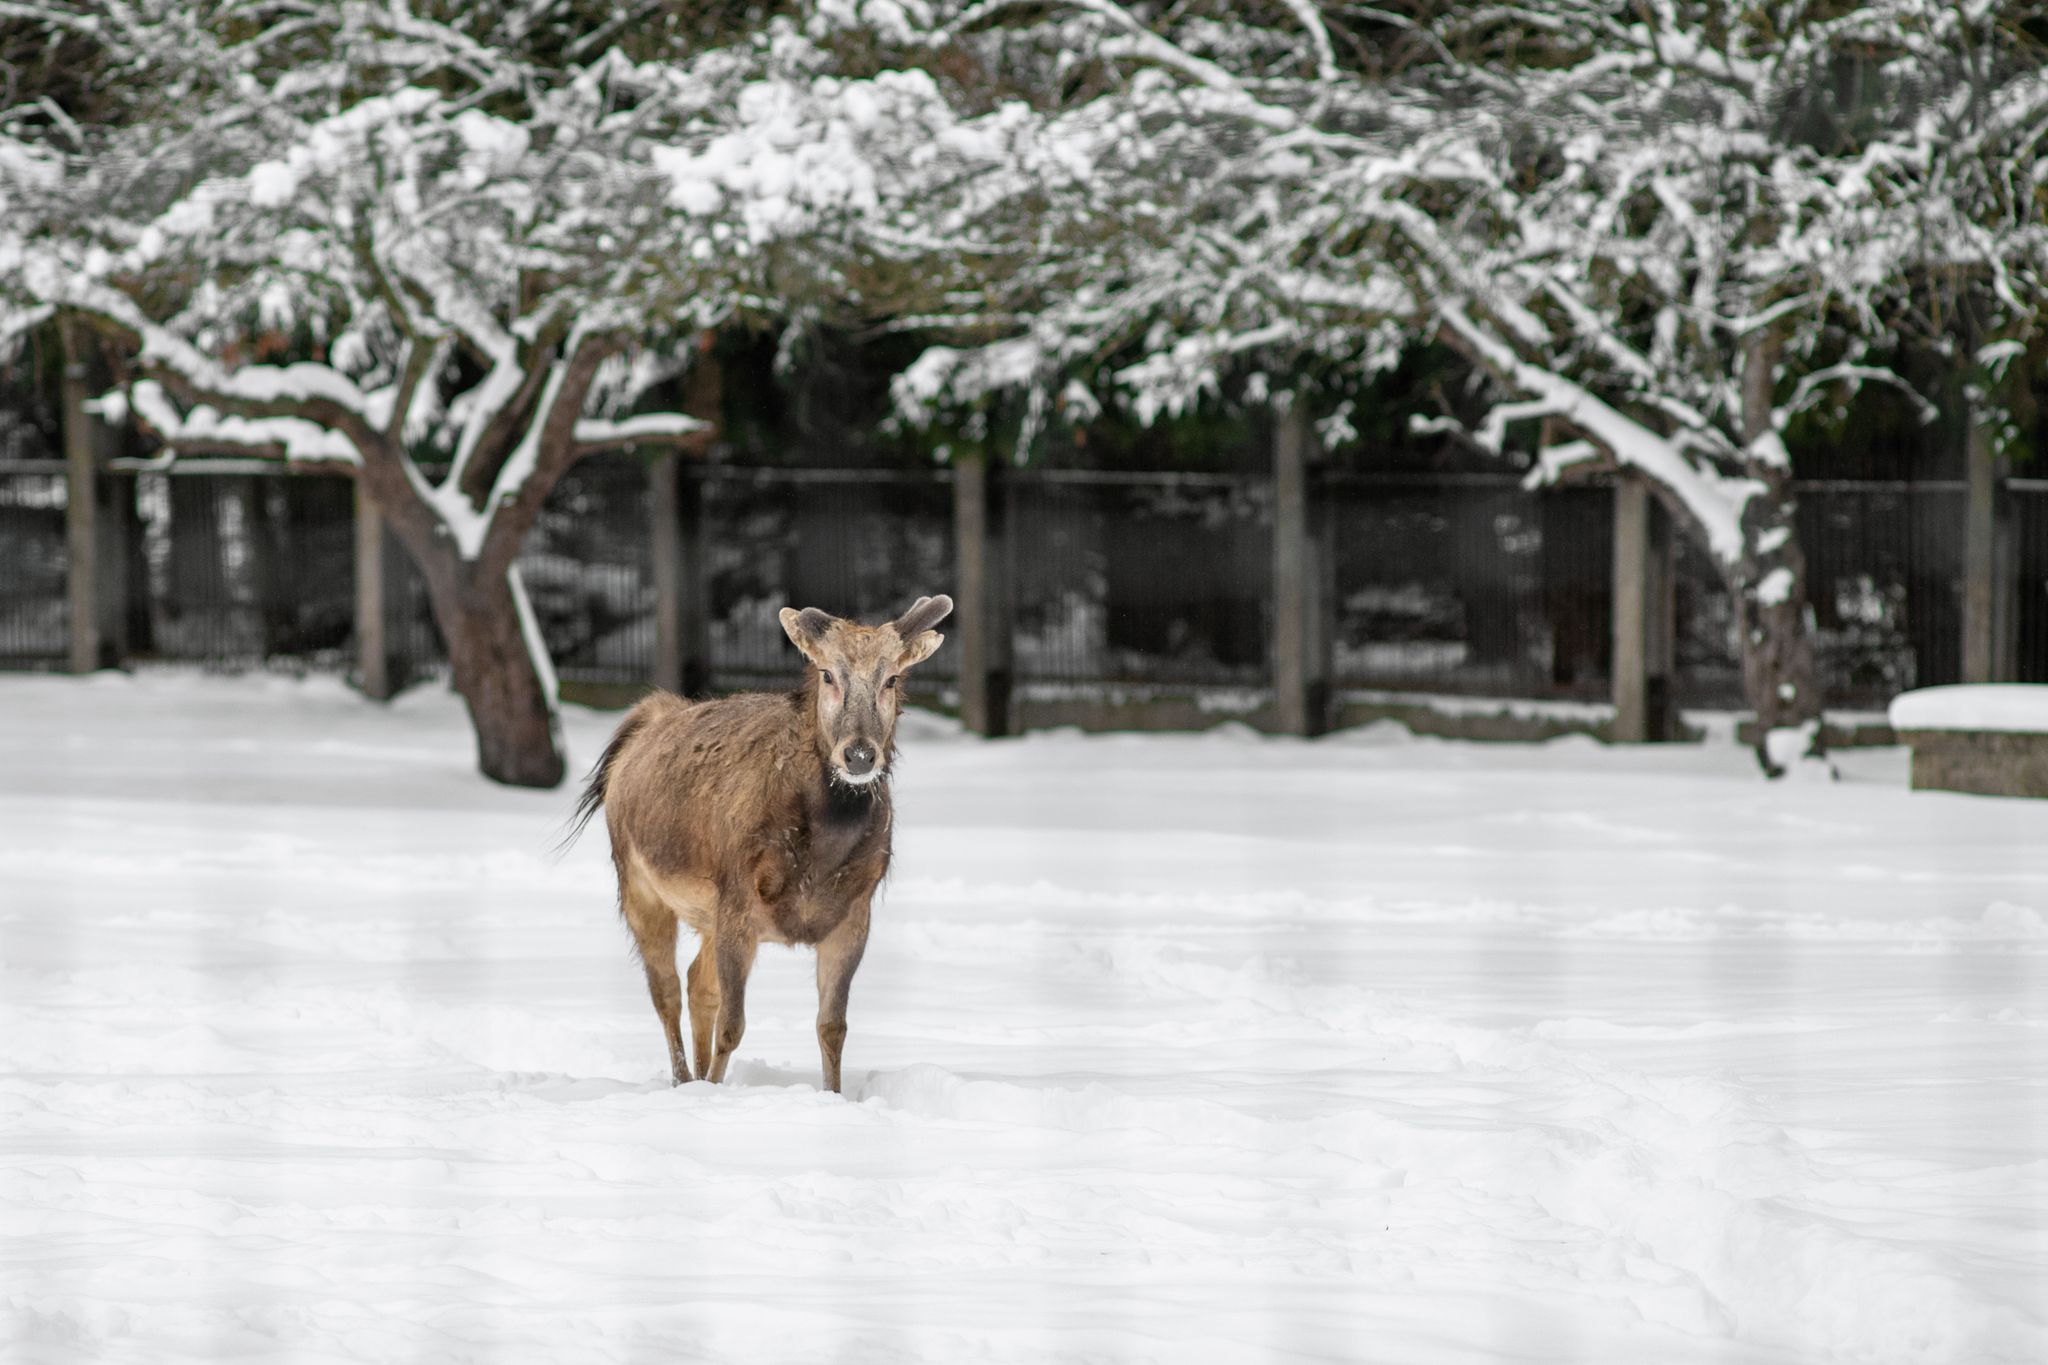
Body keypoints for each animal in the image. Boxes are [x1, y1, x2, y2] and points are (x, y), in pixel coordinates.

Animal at [565, 594, 953, 1093]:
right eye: (827, 674)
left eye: (892, 679)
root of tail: (648, 718)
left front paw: (834, 1095)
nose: (859, 755)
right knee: (666, 989)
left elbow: (832, 1026)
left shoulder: (854, 913)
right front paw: (713, 1091)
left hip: (706, 914)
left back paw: (694, 1077)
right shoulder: (737, 899)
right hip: (637, 881)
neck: (818, 857)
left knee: (697, 982)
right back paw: (684, 1080)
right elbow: (733, 1025)